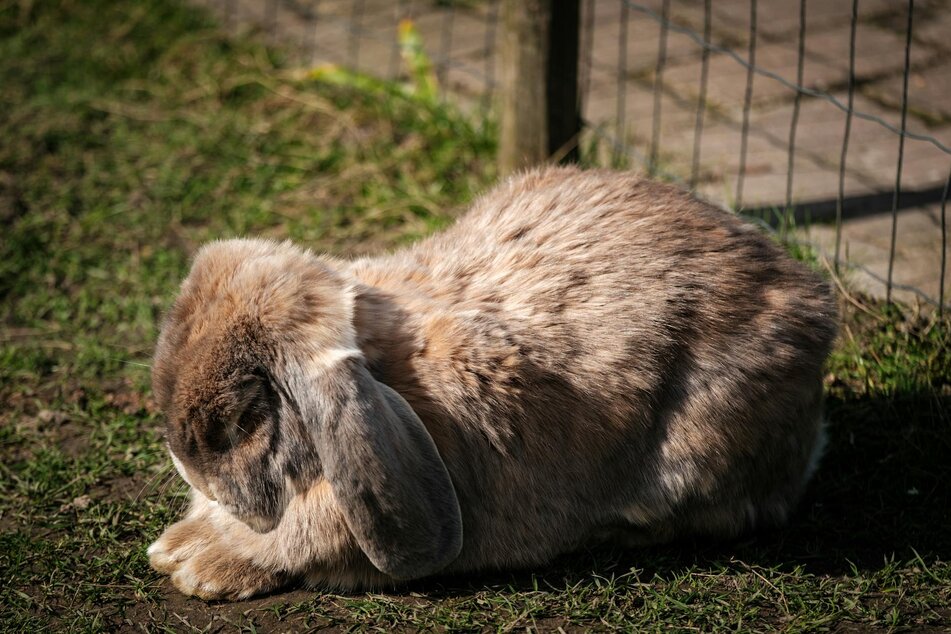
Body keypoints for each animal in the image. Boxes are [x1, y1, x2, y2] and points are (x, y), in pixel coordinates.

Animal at [147, 166, 838, 600]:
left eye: (242, 421)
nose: (186, 469)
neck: (393, 373)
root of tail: (811, 301)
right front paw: (177, 546)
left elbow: (299, 543)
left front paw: (202, 565)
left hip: (696, 451)